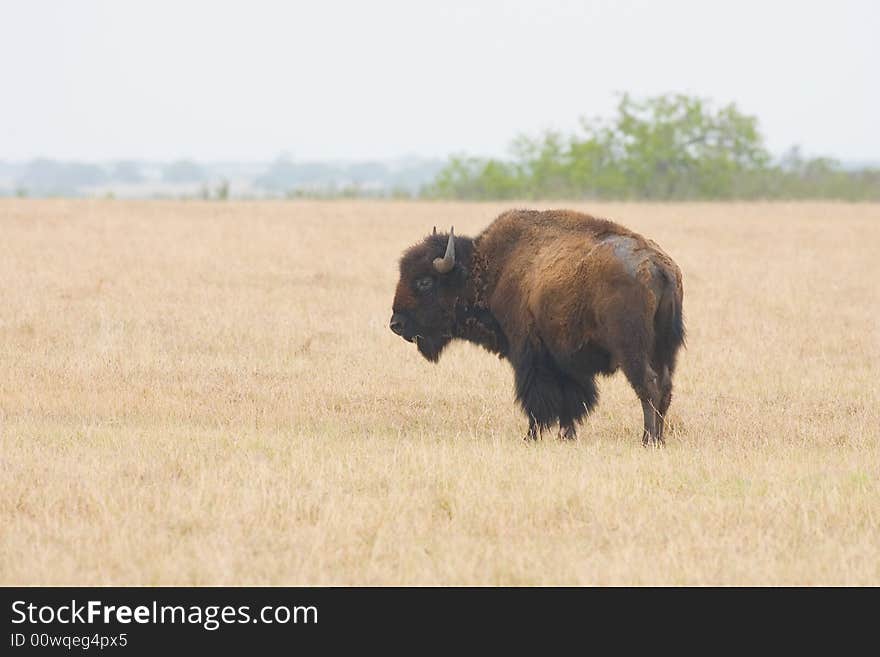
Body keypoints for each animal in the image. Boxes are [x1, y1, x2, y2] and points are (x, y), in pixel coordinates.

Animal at [388, 209, 684, 446]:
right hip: (665, 350)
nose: (396, 324)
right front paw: (566, 436)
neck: (490, 269)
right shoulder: (564, 360)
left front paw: (531, 436)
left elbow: (537, 398)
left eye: (424, 282)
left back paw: (648, 440)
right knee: (665, 387)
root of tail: (658, 266)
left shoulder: (528, 353)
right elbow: (570, 398)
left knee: (648, 385)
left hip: (632, 349)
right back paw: (659, 439)